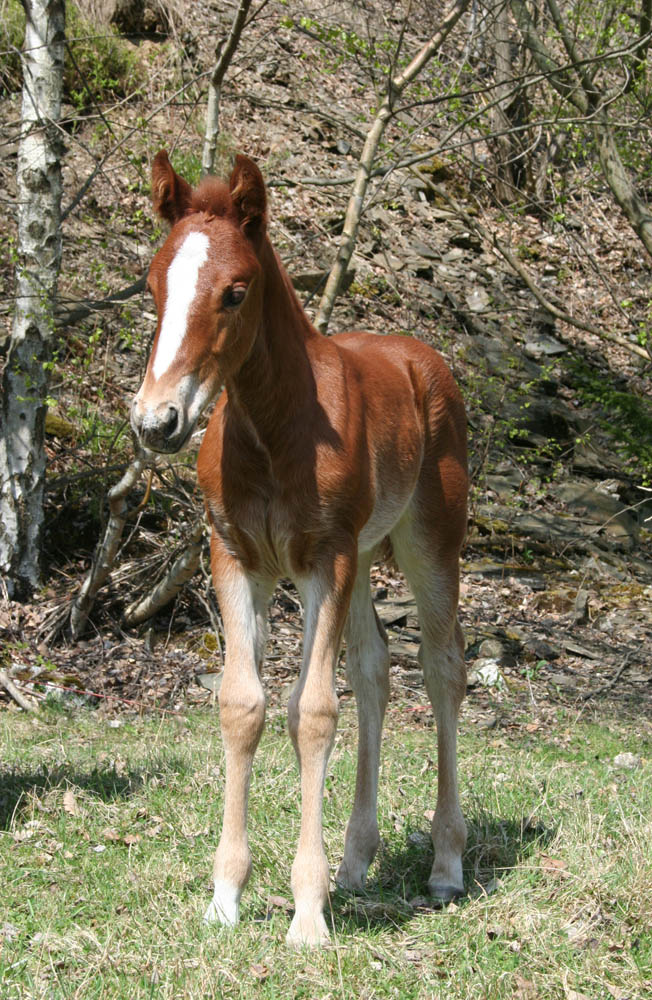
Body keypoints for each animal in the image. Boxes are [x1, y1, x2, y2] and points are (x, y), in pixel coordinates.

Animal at [131, 150, 468, 944]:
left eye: (235, 292)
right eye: (155, 286)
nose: (157, 421)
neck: (272, 423)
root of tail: (421, 358)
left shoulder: (326, 559)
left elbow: (312, 711)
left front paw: (308, 913)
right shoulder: (235, 557)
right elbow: (243, 704)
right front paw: (225, 895)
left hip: (428, 544)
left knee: (442, 670)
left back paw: (445, 865)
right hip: (369, 556)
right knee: (376, 671)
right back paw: (356, 860)